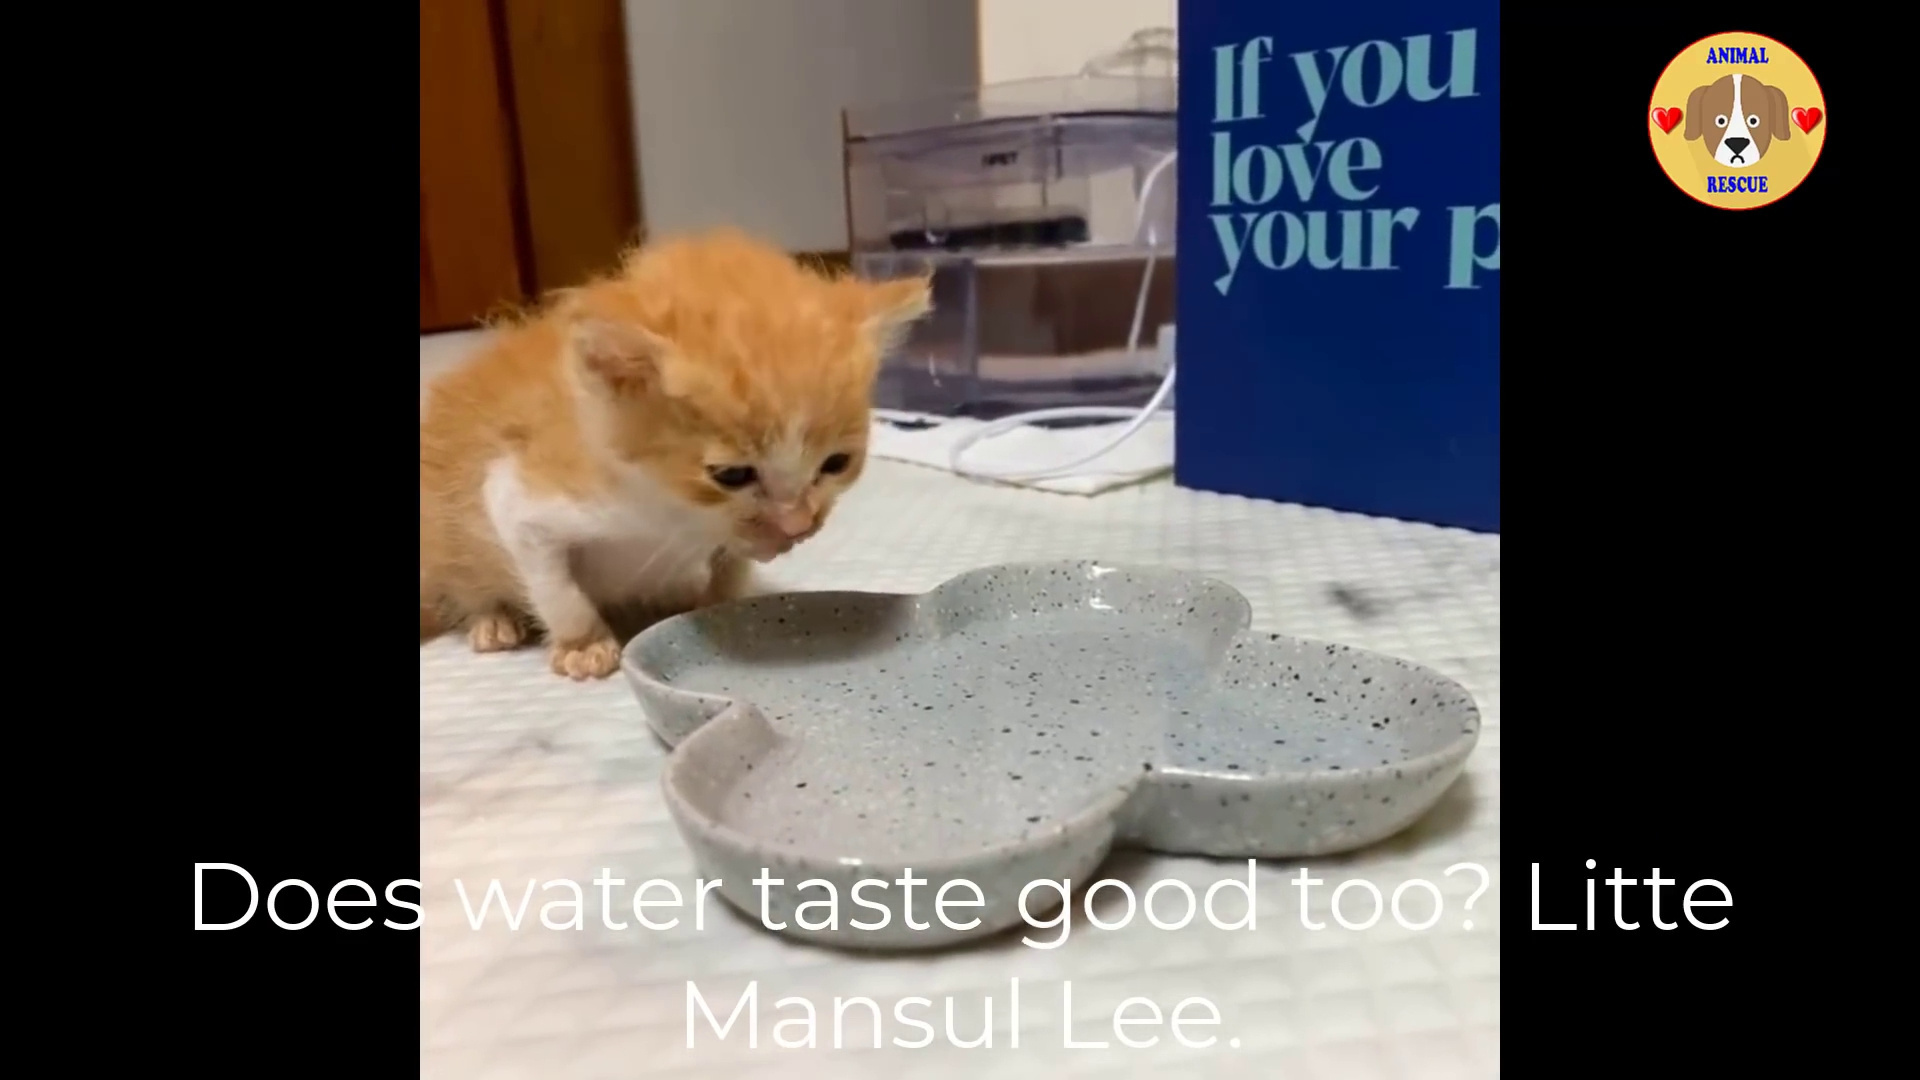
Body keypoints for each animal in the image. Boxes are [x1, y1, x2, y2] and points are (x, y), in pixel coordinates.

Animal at [420, 227, 932, 680]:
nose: (798, 526)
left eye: (836, 464)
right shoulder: (520, 496)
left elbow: (731, 563)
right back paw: (492, 619)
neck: (669, 511)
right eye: (731, 475)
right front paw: (583, 643)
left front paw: (722, 606)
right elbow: (554, 585)